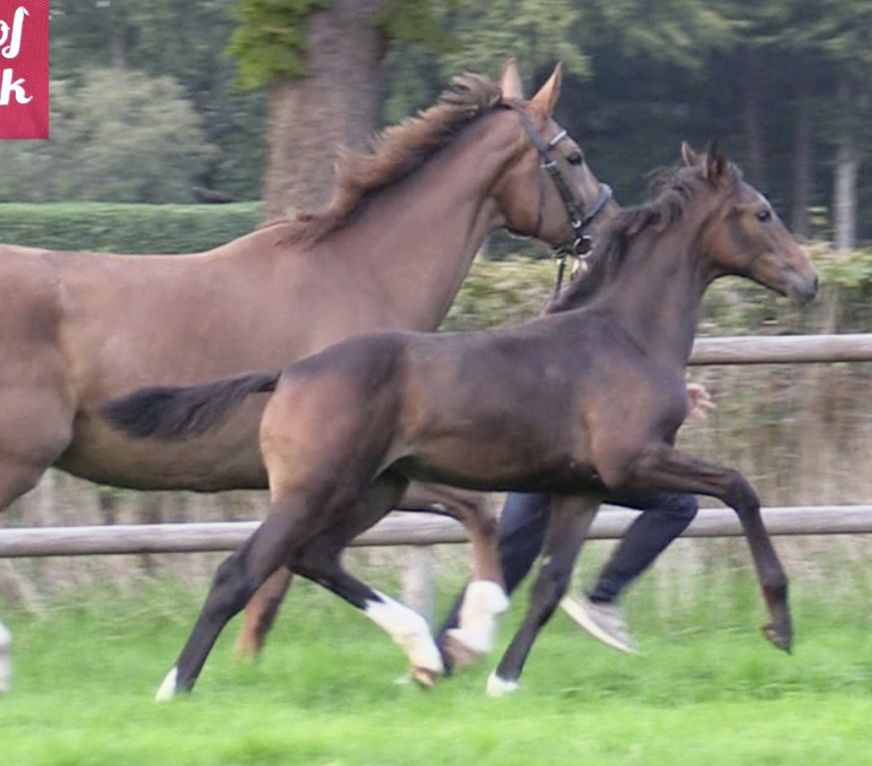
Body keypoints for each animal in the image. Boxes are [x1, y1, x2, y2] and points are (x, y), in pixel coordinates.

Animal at [0, 60, 612, 665]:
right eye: (574, 156)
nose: (608, 231)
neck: (359, 274)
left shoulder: (373, 473)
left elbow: (467, 514)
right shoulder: (338, 476)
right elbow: (277, 582)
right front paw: (466, 637)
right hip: (19, 462)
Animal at [104, 143, 818, 699]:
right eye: (762, 213)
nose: (808, 282)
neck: (626, 335)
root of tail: (291, 373)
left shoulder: (582, 487)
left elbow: (550, 584)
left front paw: (504, 681)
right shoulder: (634, 462)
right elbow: (739, 489)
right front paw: (780, 626)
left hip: (374, 490)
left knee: (315, 557)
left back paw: (424, 651)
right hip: (316, 489)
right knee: (240, 571)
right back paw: (174, 688)